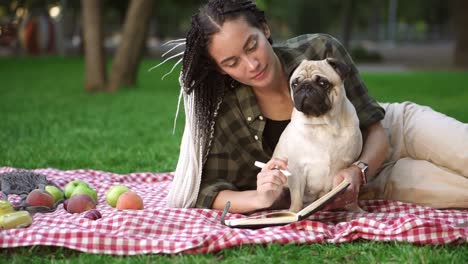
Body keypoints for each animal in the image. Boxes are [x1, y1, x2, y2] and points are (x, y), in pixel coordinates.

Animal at [274, 58, 362, 212]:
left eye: (323, 83)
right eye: (294, 84)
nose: (305, 86)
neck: (323, 124)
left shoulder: (348, 164)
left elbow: (351, 193)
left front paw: (355, 209)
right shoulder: (296, 170)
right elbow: (296, 197)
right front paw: (294, 212)